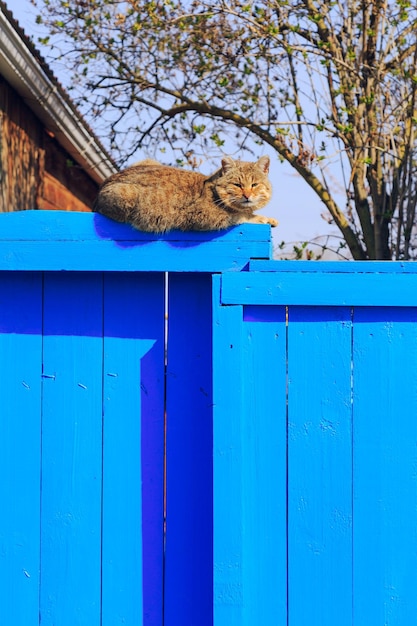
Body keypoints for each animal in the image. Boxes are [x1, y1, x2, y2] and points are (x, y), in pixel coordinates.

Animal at [92, 155, 278, 233]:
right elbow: (240, 216)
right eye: (237, 185)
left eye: (254, 185)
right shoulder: (203, 216)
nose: (247, 195)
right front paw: (262, 218)